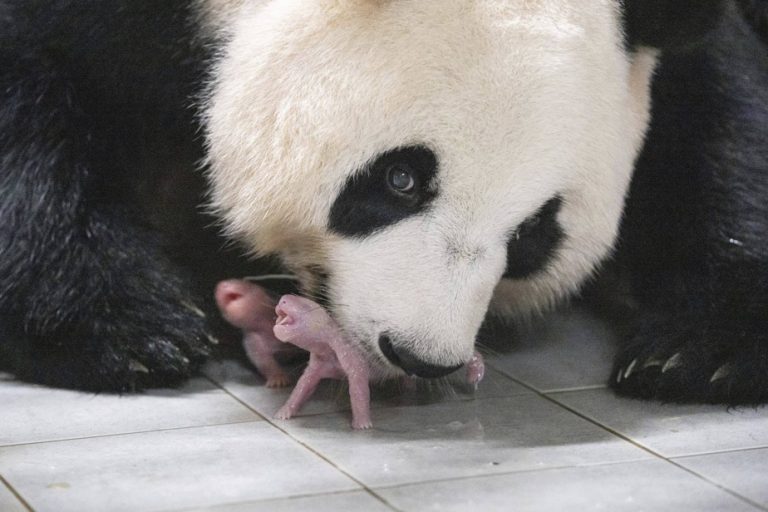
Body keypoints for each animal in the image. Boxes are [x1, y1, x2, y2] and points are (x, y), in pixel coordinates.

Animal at [1, 0, 768, 404]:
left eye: (533, 234)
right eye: (401, 180)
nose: (421, 355)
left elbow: (718, 118)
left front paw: (698, 352)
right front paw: (127, 330)